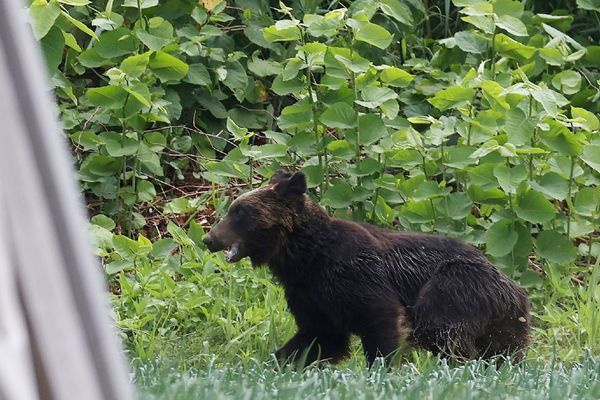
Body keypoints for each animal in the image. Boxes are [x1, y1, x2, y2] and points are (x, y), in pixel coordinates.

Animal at [205, 171, 528, 366]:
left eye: (239, 212)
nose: (209, 238)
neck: (304, 257)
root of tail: (513, 286)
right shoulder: (309, 294)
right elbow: (318, 337)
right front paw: (279, 362)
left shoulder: (355, 275)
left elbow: (380, 319)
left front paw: (381, 369)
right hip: (505, 322)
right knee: (504, 350)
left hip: (456, 285)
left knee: (441, 328)